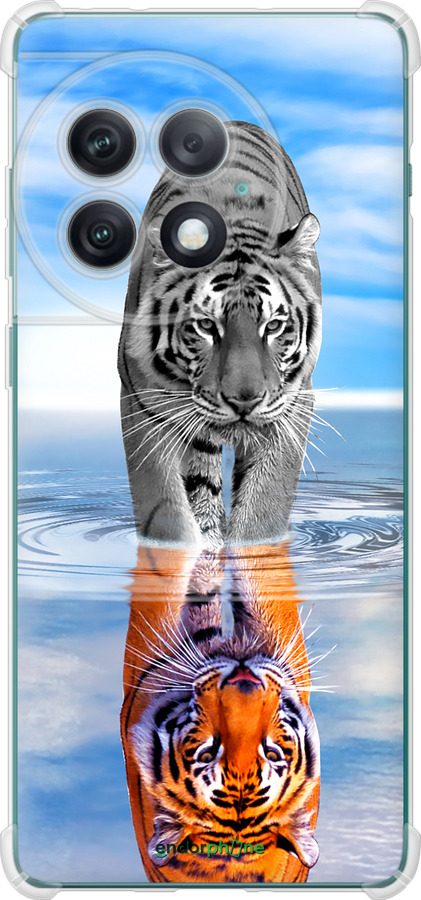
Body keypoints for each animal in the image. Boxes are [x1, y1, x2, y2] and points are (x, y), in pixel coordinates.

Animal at [118, 120, 322, 549]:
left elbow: (263, 509)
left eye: (273, 326)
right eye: (206, 326)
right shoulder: (142, 401)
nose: (244, 400)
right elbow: (166, 512)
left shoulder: (293, 405)